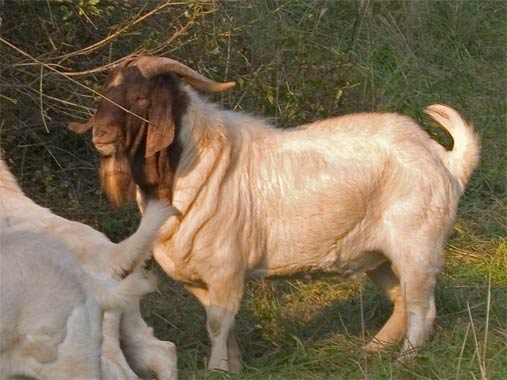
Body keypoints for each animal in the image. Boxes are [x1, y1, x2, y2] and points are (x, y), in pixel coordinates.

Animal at [69, 55, 482, 372]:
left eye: (140, 97)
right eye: (106, 94)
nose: (101, 135)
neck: (192, 162)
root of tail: (446, 160)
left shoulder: (226, 268)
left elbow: (217, 324)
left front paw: (217, 370)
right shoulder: (201, 277)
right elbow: (223, 325)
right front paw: (234, 367)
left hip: (417, 247)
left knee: (421, 307)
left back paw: (403, 361)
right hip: (377, 255)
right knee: (400, 300)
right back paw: (373, 350)